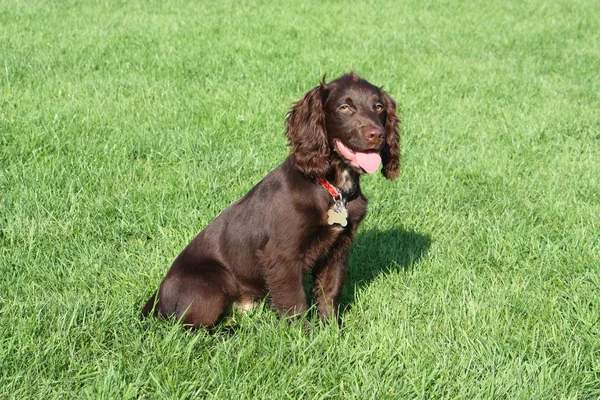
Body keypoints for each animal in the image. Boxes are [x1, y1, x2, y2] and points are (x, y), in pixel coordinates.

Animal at [142, 72, 400, 328]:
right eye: (344, 107)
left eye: (378, 107)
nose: (377, 135)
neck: (333, 188)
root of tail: (156, 299)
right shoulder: (281, 255)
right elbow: (294, 301)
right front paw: (302, 335)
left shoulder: (338, 249)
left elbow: (330, 291)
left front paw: (331, 330)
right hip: (210, 282)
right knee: (189, 327)